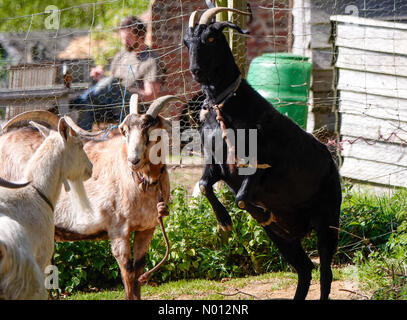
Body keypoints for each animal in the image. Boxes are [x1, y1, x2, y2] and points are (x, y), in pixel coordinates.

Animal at [184, 7, 342, 300]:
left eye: (211, 38)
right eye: (187, 42)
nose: (196, 70)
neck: (224, 107)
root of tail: (331, 163)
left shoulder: (259, 167)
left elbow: (242, 198)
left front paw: (259, 212)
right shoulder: (216, 164)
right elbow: (203, 185)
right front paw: (224, 221)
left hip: (327, 220)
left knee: (325, 272)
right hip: (282, 237)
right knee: (305, 269)